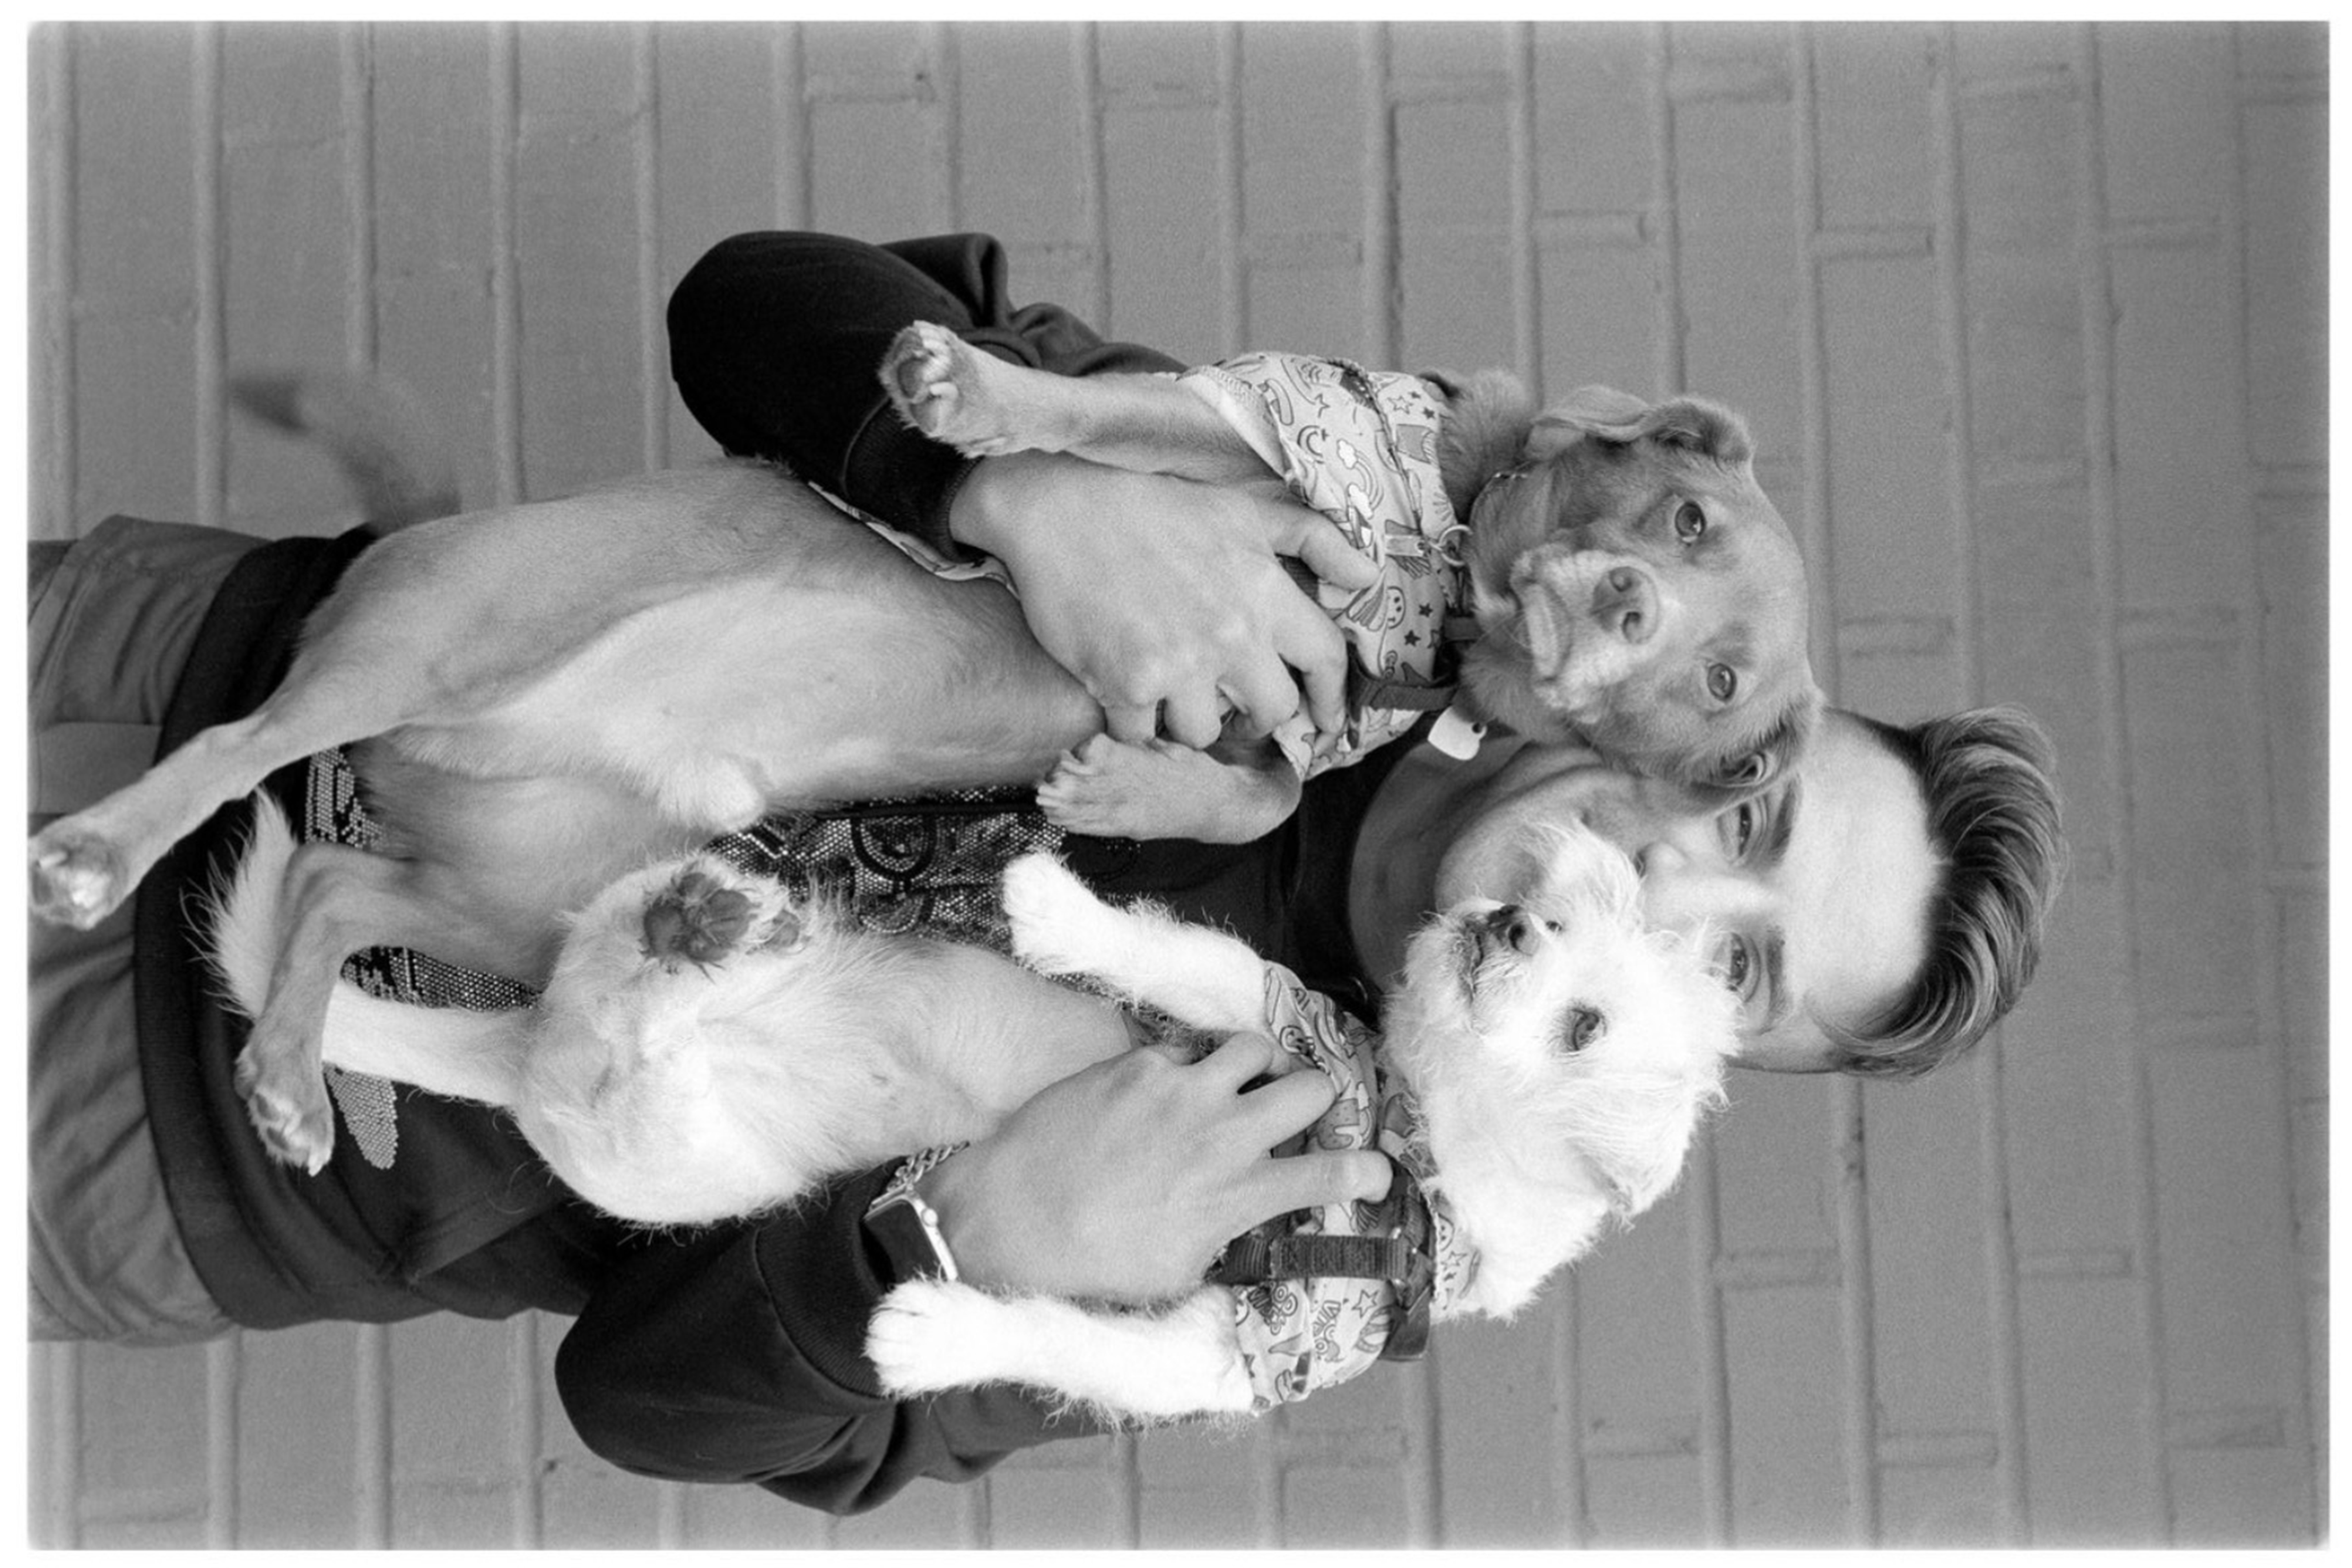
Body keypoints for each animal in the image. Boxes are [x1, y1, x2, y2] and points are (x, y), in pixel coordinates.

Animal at [207, 801, 1736, 1420]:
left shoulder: (1211, 1356)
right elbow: (1186, 955)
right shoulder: (1274, 1023)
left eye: (1587, 1024)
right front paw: (1055, 909)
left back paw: (696, 948)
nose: (1506, 921)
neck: (1405, 1160)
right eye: (1549, 926)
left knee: (640, 1041)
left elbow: (1056, 1335)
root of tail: (526, 1055)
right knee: (628, 947)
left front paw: (930, 1332)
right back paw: (707, 917)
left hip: (670, 1147)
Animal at [882, 325, 1822, 845]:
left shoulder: (1320, 711)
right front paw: (973, 389)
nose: (1632, 603)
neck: (1453, 583)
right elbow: (1101, 410)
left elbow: (1275, 798)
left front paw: (1130, 794)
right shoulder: (1256, 425)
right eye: (1689, 520)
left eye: (1721, 682)